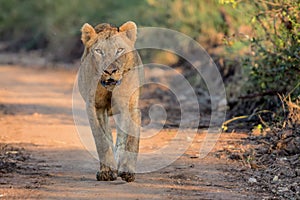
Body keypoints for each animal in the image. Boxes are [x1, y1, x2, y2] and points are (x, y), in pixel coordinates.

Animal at [77, 21, 143, 182]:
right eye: (99, 51)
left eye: (119, 50)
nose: (110, 70)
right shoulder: (96, 107)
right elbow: (101, 139)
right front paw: (107, 171)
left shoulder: (131, 106)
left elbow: (131, 139)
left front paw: (127, 171)